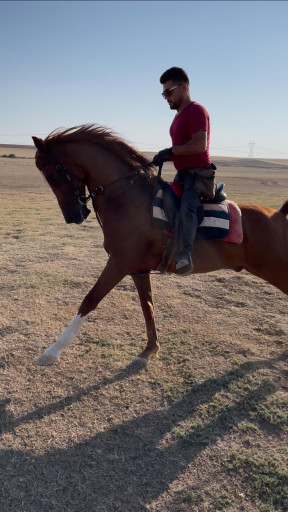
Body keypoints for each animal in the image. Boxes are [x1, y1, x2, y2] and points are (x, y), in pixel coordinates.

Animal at [32, 124, 288, 366]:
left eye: (51, 176)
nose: (72, 216)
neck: (128, 199)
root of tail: (279, 215)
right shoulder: (138, 270)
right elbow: (148, 307)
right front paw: (149, 350)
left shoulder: (119, 262)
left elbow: (90, 300)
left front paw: (52, 351)